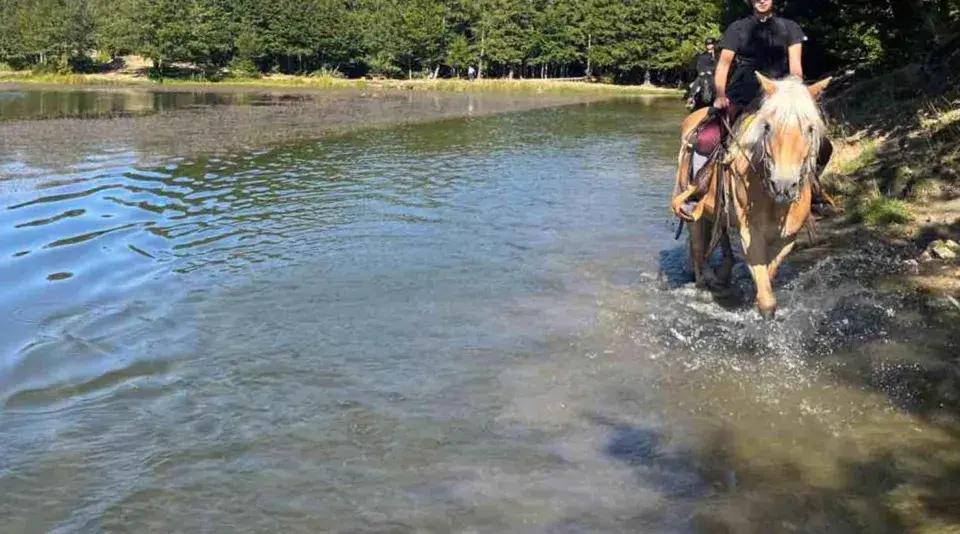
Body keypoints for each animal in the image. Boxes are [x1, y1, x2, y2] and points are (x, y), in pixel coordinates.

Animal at [671, 73, 832, 319]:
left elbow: (768, 276)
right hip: (694, 214)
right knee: (698, 255)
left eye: (810, 128)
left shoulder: (787, 239)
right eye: (767, 126)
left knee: (721, 237)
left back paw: (722, 273)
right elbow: (767, 302)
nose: (783, 185)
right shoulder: (751, 234)